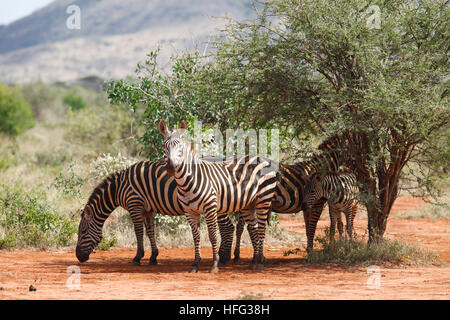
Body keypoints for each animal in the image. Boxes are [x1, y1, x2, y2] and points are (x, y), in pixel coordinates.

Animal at [74, 159, 236, 264]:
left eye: (83, 231)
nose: (78, 257)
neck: (118, 189)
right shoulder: (147, 209)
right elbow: (150, 231)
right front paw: (153, 257)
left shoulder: (135, 205)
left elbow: (138, 232)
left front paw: (138, 257)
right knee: (228, 227)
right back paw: (225, 256)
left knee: (228, 227)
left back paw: (223, 258)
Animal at [158, 120, 278, 272]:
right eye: (164, 146)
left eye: (180, 146)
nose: (171, 168)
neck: (187, 181)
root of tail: (261, 158)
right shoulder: (189, 212)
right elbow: (196, 237)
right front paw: (195, 264)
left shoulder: (210, 208)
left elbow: (212, 235)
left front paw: (215, 263)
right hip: (248, 204)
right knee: (254, 229)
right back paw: (254, 261)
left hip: (263, 200)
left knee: (261, 229)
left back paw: (260, 262)